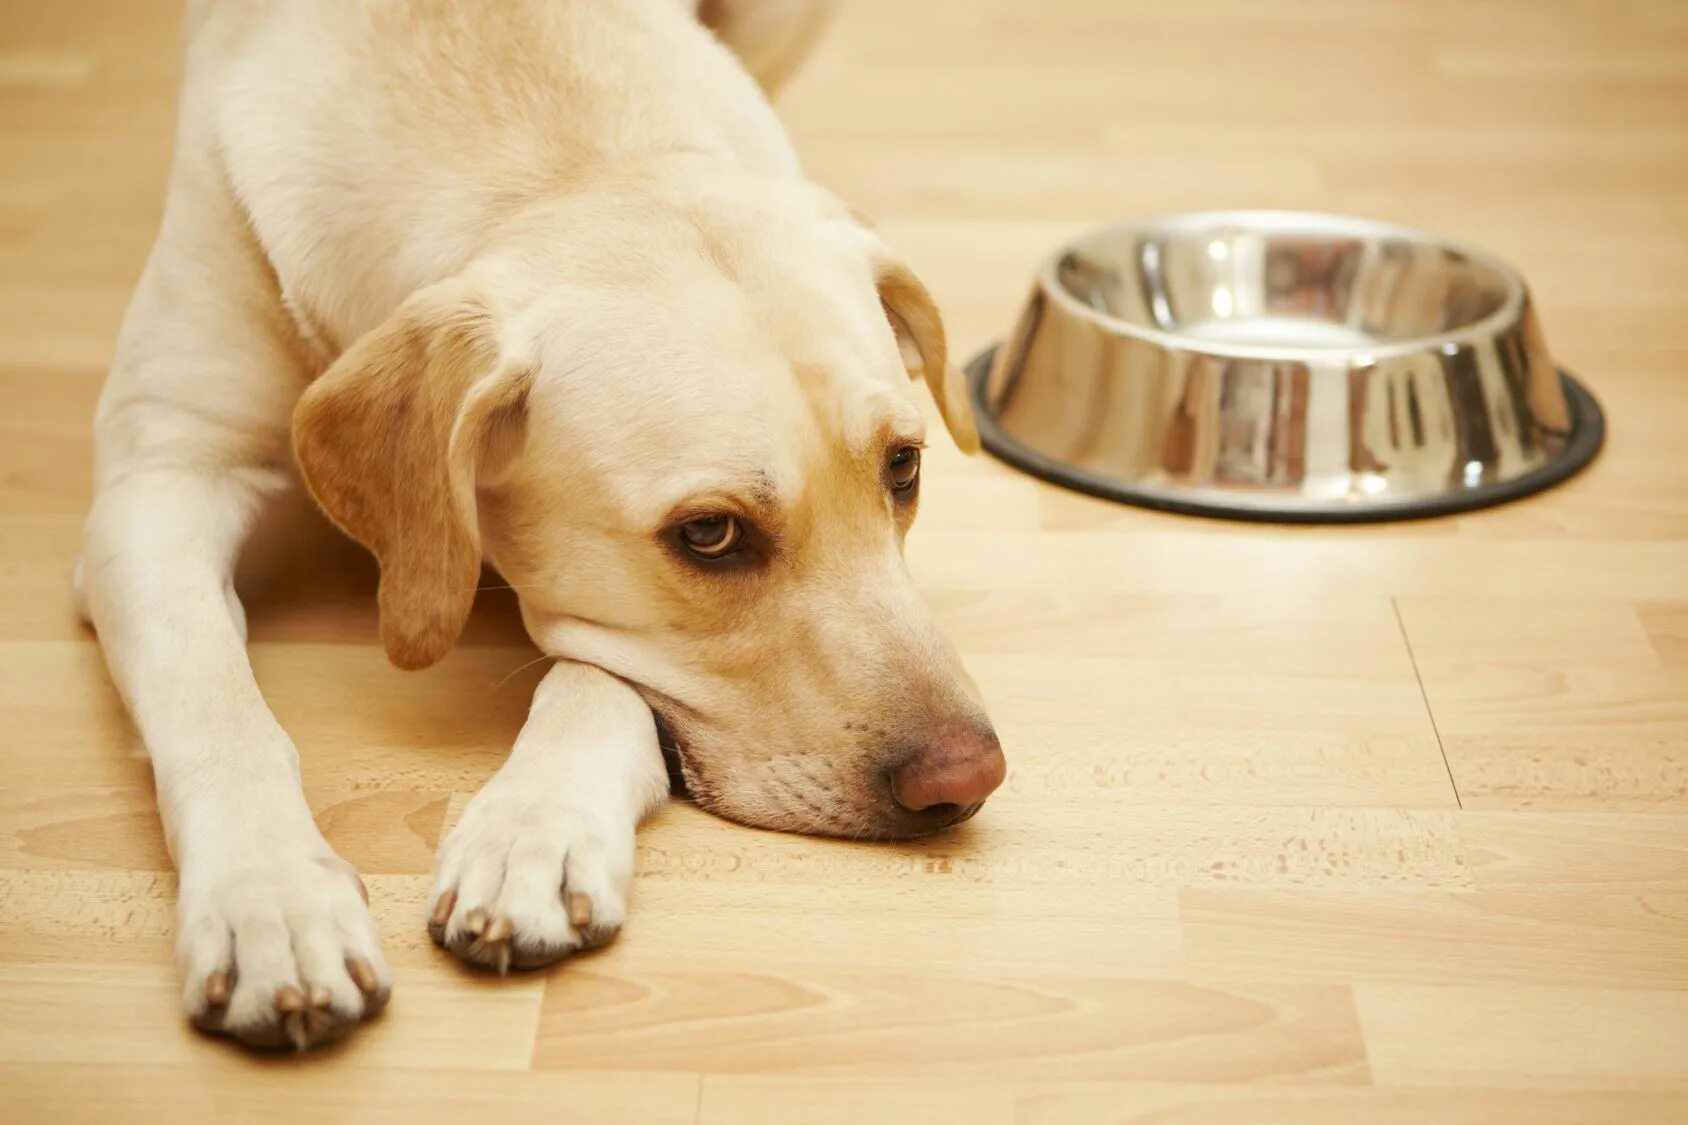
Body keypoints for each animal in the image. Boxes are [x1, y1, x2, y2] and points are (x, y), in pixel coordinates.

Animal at [79, 2, 999, 1054]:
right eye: (710, 534)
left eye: (904, 467)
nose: (970, 775)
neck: (558, 153)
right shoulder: (158, 480)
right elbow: (213, 699)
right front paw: (270, 900)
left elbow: (599, 680)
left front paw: (535, 832)